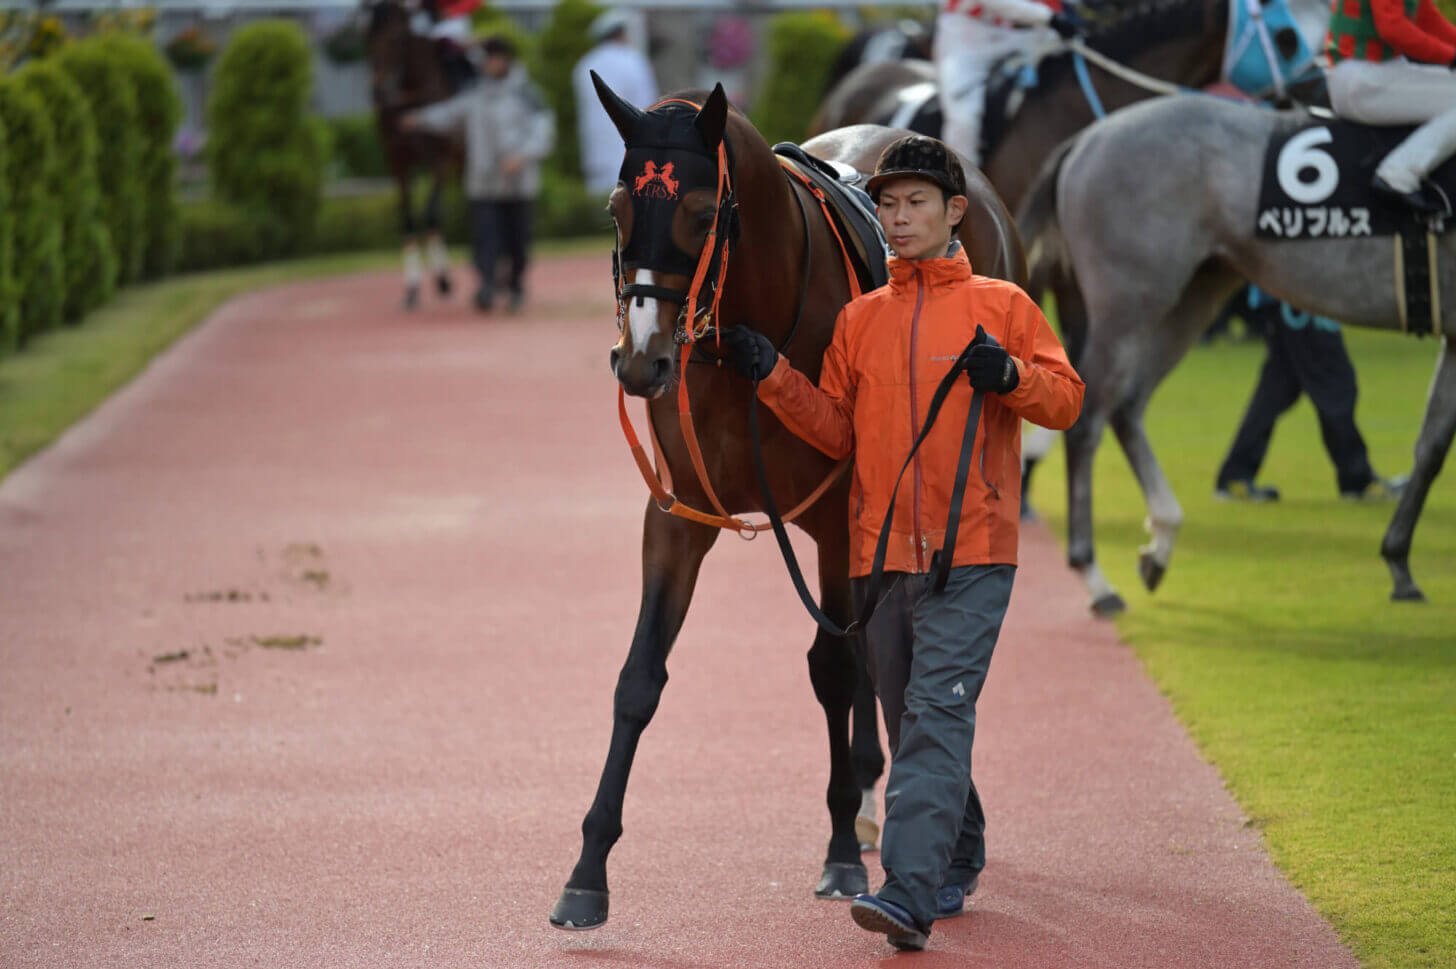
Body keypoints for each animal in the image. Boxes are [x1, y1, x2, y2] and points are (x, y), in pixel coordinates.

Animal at [366, 0, 457, 306]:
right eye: (368, 38)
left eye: (396, 40)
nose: (378, 91)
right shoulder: (398, 164)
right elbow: (407, 219)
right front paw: (412, 287)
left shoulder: (440, 160)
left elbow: (431, 214)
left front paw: (442, 280)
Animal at [547, 77, 1025, 931]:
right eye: (615, 207)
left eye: (702, 210)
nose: (641, 362)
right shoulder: (677, 518)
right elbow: (639, 678)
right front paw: (587, 871)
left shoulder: (837, 518)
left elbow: (834, 666)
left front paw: (839, 853)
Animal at [1013, 96, 1456, 611]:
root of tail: (1087, 137)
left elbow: (1431, 447)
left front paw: (1399, 563)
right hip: (1130, 305)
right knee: (1089, 419)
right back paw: (1095, 576)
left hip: (1196, 292)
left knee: (1127, 404)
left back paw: (1160, 543)